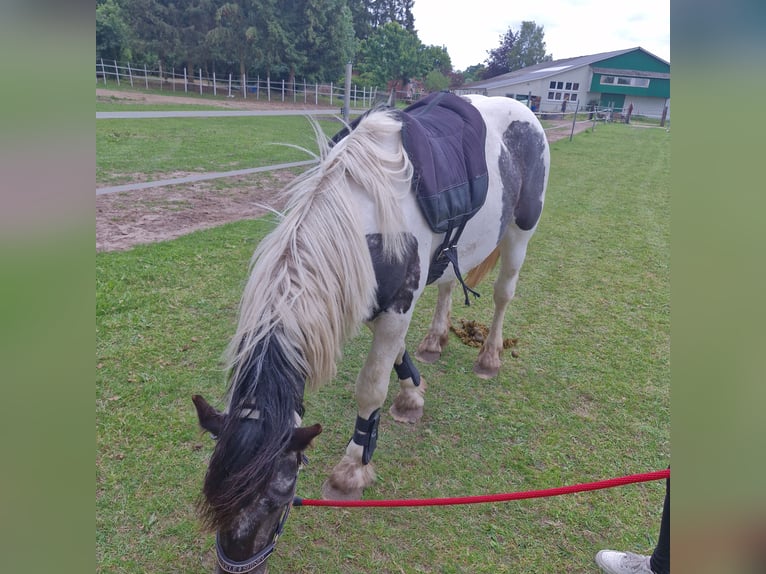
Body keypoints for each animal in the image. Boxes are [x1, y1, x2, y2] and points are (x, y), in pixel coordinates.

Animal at [192, 92, 552, 572]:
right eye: (214, 498)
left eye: (280, 496)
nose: (235, 566)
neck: (361, 221)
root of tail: (523, 106)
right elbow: (396, 359)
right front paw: (412, 395)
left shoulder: (397, 308)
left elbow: (371, 386)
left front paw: (352, 468)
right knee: (446, 287)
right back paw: (436, 340)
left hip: (519, 233)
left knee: (503, 294)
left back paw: (490, 356)